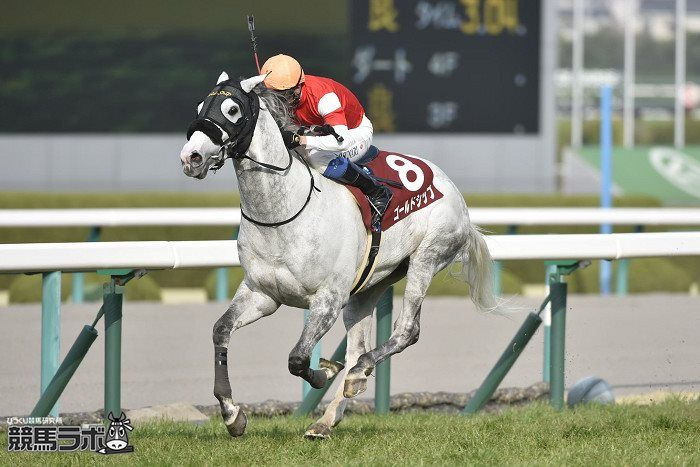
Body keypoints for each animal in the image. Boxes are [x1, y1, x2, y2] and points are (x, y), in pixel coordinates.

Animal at [180, 72, 497, 439]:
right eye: (199, 107)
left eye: (232, 109)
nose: (191, 157)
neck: (282, 213)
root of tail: (454, 191)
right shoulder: (261, 294)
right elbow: (221, 330)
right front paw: (232, 414)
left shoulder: (328, 299)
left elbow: (298, 359)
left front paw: (325, 372)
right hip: (369, 286)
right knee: (359, 346)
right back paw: (327, 418)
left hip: (426, 258)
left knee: (406, 331)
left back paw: (358, 374)